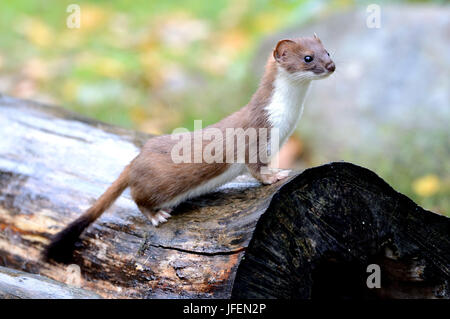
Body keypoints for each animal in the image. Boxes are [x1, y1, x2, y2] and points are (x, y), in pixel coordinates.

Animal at [44, 35, 334, 262]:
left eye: (327, 51)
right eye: (308, 58)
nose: (331, 65)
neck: (287, 119)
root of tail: (138, 158)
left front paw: (279, 170)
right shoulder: (256, 135)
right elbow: (255, 168)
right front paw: (275, 176)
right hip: (157, 185)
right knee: (138, 197)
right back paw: (157, 215)